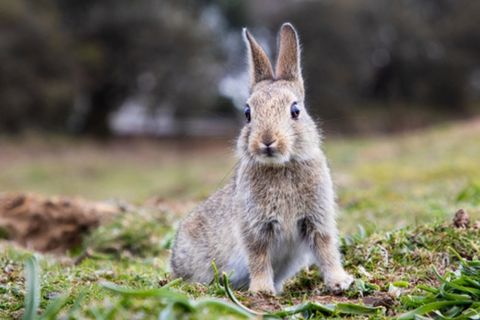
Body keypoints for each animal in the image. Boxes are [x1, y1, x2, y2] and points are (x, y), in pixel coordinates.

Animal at [170, 23, 352, 296]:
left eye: (295, 110)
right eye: (247, 113)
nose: (267, 140)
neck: (281, 167)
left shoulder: (317, 219)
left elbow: (326, 249)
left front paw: (340, 282)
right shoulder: (255, 227)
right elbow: (258, 257)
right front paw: (262, 290)